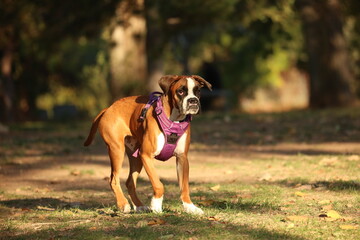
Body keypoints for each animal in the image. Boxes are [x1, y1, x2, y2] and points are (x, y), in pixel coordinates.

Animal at [83, 74, 211, 214]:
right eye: (181, 91)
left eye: (198, 91)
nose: (193, 101)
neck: (174, 120)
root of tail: (109, 108)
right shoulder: (147, 156)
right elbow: (158, 184)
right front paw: (156, 205)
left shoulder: (182, 158)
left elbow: (185, 186)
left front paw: (190, 207)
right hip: (117, 151)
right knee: (113, 179)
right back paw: (123, 204)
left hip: (136, 158)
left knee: (130, 182)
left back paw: (139, 206)